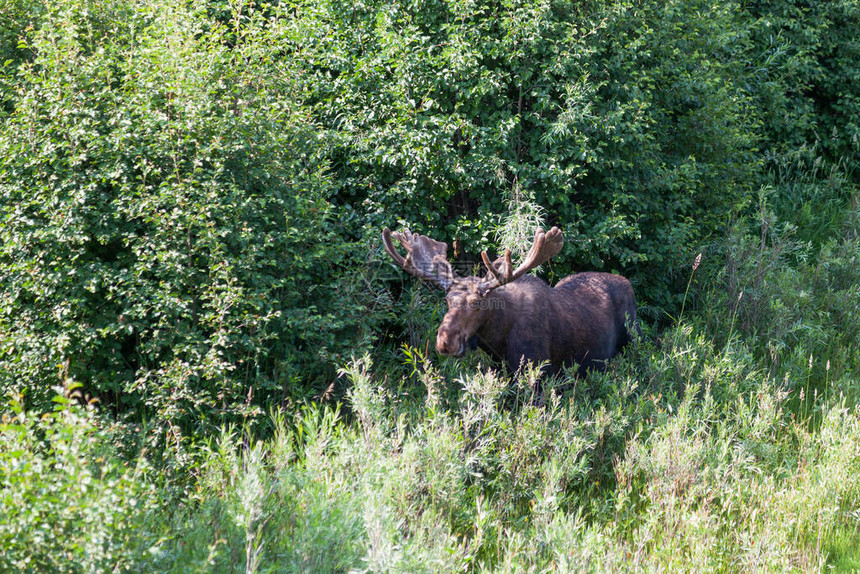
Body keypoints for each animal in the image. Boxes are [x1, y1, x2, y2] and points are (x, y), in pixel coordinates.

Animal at [382, 225, 640, 378]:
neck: (497, 337)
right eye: (447, 300)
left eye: (477, 302)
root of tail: (628, 282)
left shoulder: (537, 369)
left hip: (632, 339)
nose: (445, 342)